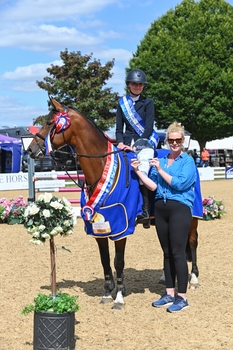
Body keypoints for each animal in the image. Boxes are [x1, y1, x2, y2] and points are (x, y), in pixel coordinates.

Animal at [26, 98, 142, 308]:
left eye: (49, 123)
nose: (30, 150)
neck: (101, 169)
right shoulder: (98, 227)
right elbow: (104, 259)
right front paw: (108, 292)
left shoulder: (122, 227)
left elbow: (118, 261)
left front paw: (119, 296)